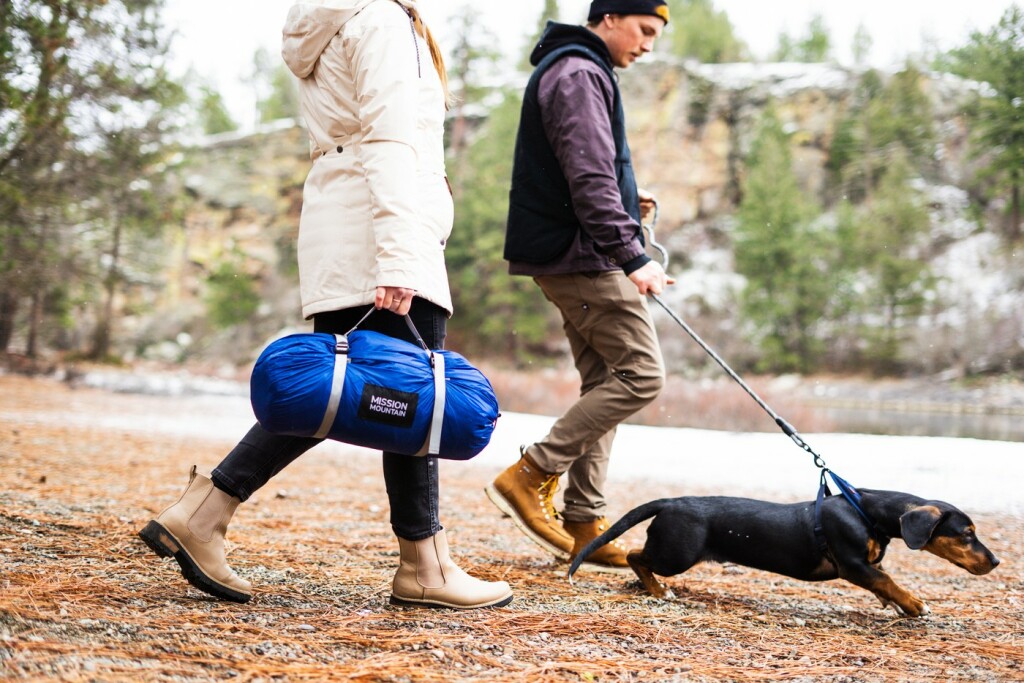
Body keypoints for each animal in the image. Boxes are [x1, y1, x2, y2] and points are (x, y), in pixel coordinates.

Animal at [565, 489, 995, 618]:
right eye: (967, 533)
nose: (996, 561)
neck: (867, 512)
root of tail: (670, 501)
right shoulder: (852, 565)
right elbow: (887, 580)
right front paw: (915, 604)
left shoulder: (865, 566)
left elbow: (883, 583)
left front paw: (897, 606)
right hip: (676, 555)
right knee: (635, 557)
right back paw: (658, 591)